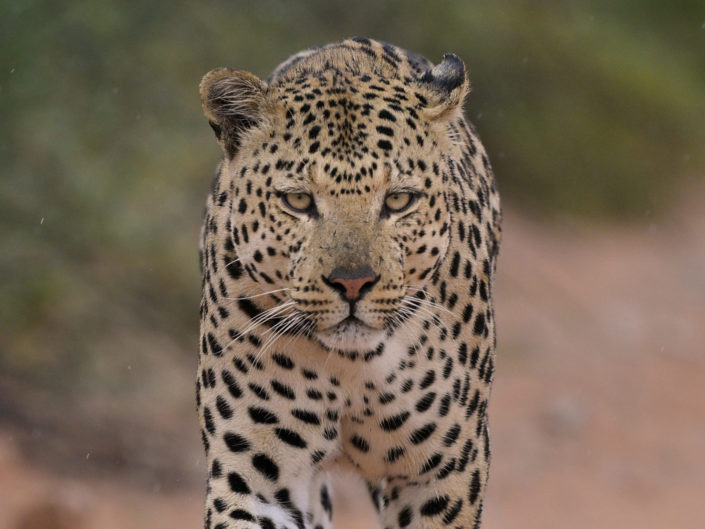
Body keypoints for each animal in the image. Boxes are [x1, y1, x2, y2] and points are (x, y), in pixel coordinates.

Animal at [196, 37, 501, 529]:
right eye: (298, 201)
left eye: (399, 200)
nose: (353, 284)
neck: (353, 368)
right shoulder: (256, 476)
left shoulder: (444, 470)